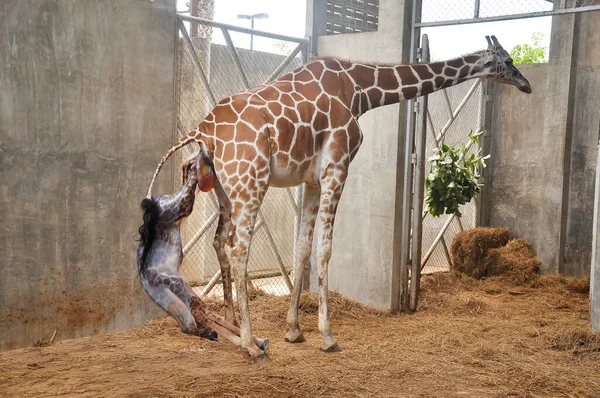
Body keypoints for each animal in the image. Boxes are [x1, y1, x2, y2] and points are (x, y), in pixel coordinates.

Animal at [137, 155, 268, 354]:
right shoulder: (183, 205)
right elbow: (189, 189)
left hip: (188, 296)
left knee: (204, 318)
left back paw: (254, 342)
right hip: (184, 295)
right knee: (201, 319)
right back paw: (251, 346)